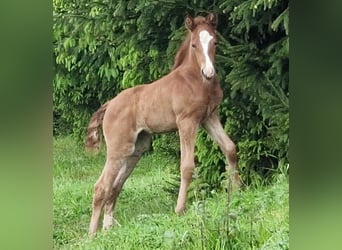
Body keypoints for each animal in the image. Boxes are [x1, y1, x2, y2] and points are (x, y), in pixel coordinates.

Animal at [86, 12, 240, 235]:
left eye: (215, 42)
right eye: (194, 44)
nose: (209, 72)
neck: (195, 80)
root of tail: (109, 104)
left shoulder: (209, 117)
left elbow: (230, 148)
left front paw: (238, 189)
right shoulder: (187, 122)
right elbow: (187, 166)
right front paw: (180, 209)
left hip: (135, 149)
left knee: (115, 186)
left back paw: (107, 229)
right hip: (118, 148)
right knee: (101, 186)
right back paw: (92, 235)